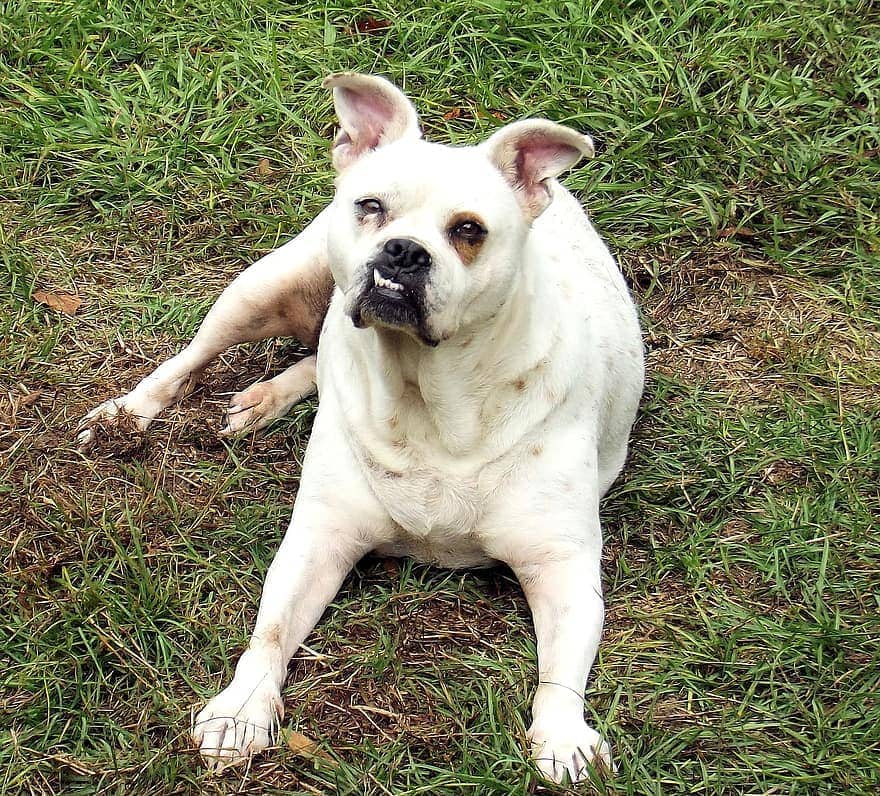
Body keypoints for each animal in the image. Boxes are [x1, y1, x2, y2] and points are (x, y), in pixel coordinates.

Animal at [81, 74, 648, 784]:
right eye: (371, 206)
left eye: (469, 230)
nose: (403, 251)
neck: (428, 393)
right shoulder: (320, 538)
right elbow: (270, 630)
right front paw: (240, 710)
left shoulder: (563, 567)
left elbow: (561, 675)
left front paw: (564, 737)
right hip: (262, 289)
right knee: (192, 359)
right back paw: (127, 415)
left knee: (314, 359)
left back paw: (264, 399)